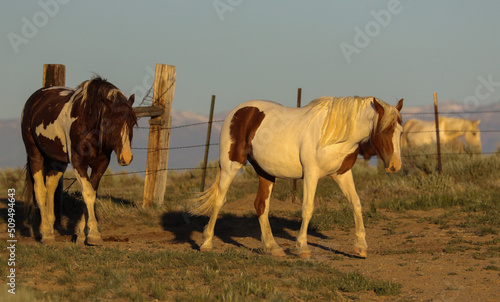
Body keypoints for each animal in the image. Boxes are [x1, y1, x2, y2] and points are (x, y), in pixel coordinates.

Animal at [21, 76, 137, 245]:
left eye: (132, 122)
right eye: (111, 122)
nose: (126, 157)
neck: (88, 124)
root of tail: (35, 98)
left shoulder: (101, 164)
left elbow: (91, 193)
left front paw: (82, 235)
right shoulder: (78, 163)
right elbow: (87, 192)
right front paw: (94, 235)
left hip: (58, 162)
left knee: (50, 187)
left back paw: (50, 228)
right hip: (34, 154)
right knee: (40, 190)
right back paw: (46, 235)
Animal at [190, 96, 402, 258]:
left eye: (399, 132)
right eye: (385, 130)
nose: (395, 166)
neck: (334, 133)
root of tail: (238, 112)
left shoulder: (342, 174)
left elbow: (356, 204)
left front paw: (361, 247)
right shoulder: (311, 174)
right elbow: (307, 208)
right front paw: (303, 248)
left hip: (265, 172)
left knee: (261, 205)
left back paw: (273, 247)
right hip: (230, 166)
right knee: (219, 200)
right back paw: (207, 243)